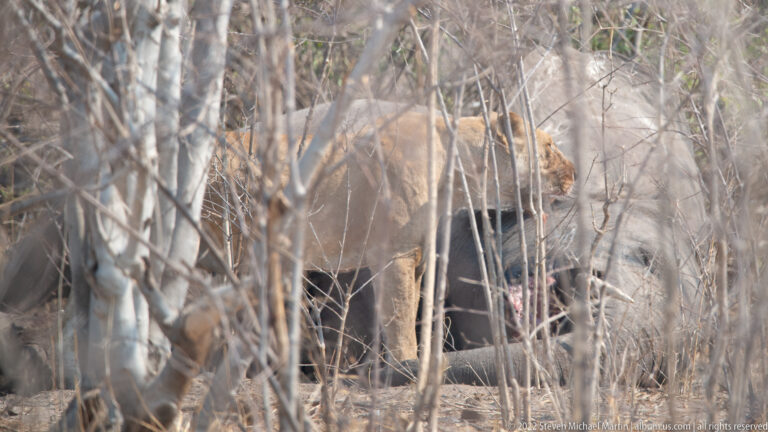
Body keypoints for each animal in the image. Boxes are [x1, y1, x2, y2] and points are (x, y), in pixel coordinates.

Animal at [202, 109, 575, 361]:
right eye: (549, 147)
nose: (573, 171)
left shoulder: (417, 256)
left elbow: (411, 312)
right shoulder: (395, 254)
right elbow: (400, 316)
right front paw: (406, 365)